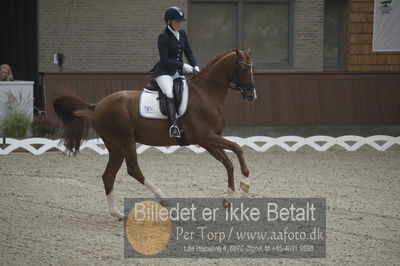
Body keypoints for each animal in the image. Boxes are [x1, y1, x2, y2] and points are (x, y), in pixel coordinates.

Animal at [53, 48, 256, 220]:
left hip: (115, 146)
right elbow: (237, 148)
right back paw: (162, 197)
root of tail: (98, 105)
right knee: (133, 170)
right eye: (243, 69)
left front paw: (229, 197)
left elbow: (228, 162)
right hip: (125, 141)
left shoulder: (208, 141)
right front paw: (245, 182)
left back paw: (117, 214)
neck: (205, 94)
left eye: (252, 68)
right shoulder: (207, 137)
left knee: (108, 176)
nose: (251, 96)